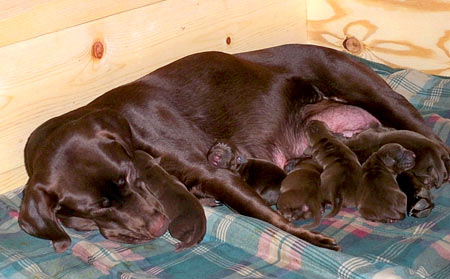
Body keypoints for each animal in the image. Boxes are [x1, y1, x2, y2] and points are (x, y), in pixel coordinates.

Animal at [18, 43, 450, 254]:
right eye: (97, 207)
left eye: (131, 178)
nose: (158, 226)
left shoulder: (209, 170)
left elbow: (263, 214)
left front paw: (310, 238)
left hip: (366, 87)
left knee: (431, 136)